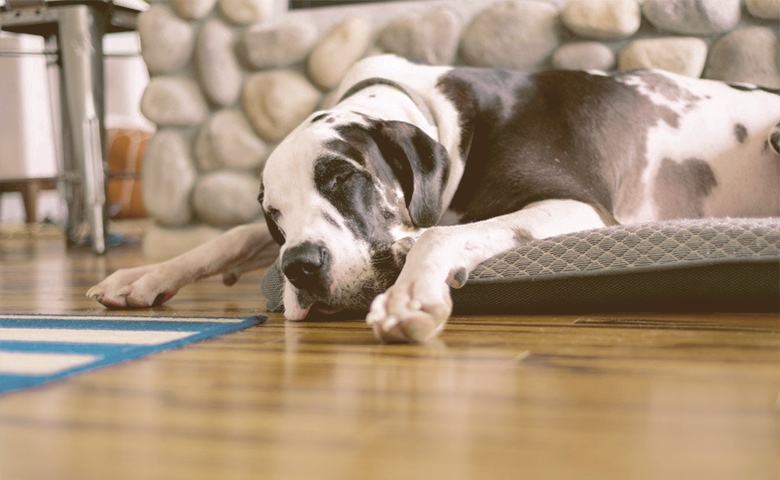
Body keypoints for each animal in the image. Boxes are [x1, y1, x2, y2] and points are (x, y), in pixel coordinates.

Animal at [87, 54, 780, 344]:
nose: (300, 267)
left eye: (343, 178)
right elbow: (227, 235)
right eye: (274, 216)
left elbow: (445, 231)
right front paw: (145, 276)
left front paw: (411, 294)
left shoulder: (578, 206)